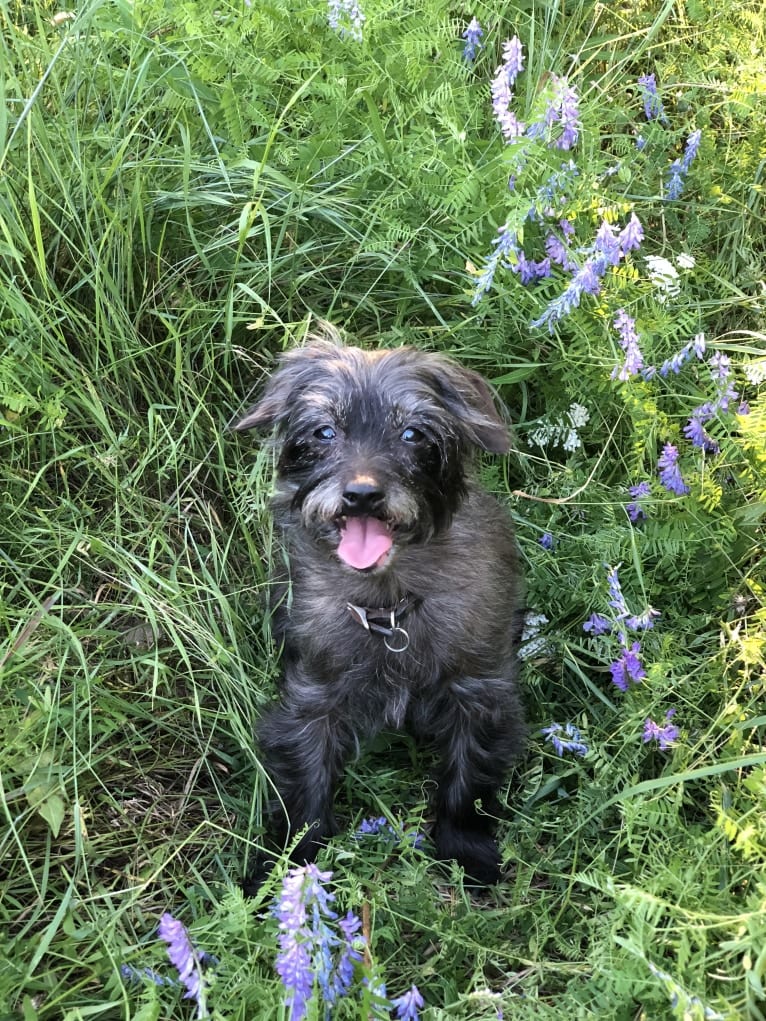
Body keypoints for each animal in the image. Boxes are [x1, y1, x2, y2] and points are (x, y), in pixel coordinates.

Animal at [236, 326, 527, 886]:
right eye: (324, 431)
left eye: (413, 434)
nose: (362, 495)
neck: (388, 606)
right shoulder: (310, 705)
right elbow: (304, 798)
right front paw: (288, 870)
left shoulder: (479, 694)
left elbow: (467, 784)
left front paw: (467, 851)